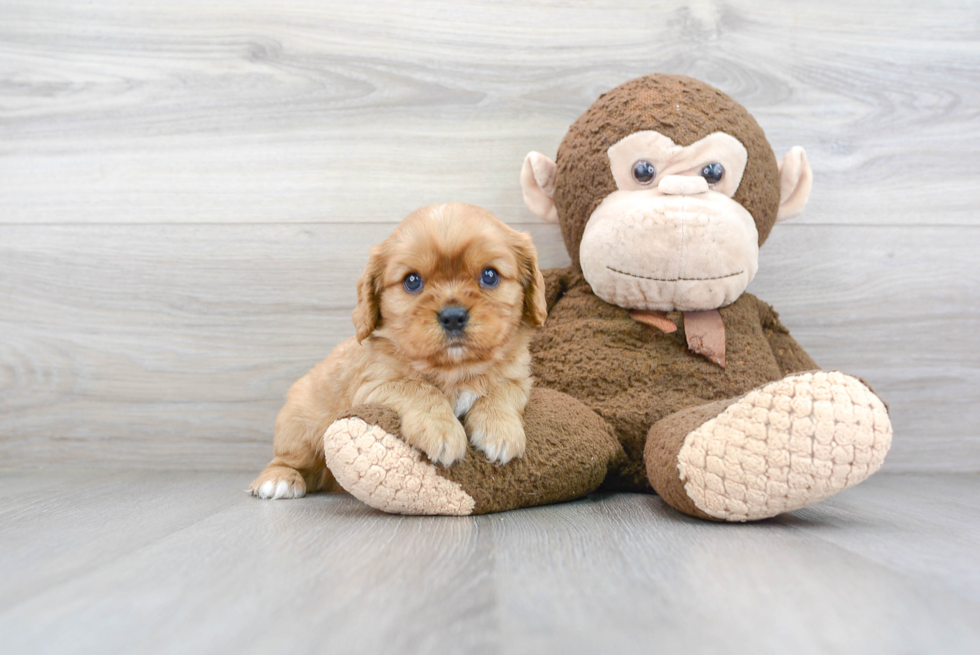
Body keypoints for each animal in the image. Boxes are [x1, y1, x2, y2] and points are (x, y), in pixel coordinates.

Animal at [249, 202, 548, 500]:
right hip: (298, 428)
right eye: (412, 281)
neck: (455, 368)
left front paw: (500, 431)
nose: (453, 316)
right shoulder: (373, 386)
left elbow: (501, 390)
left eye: (490, 275)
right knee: (289, 459)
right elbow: (418, 388)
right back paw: (278, 480)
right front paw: (441, 431)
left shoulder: (519, 378)